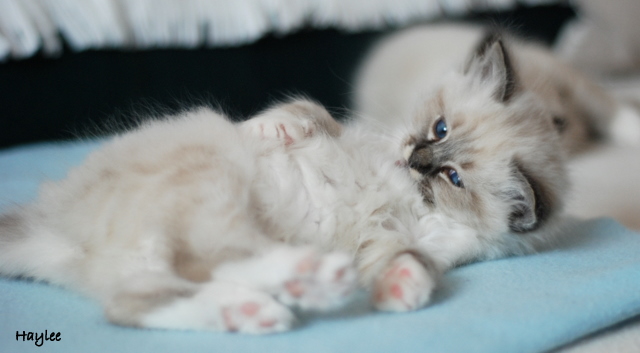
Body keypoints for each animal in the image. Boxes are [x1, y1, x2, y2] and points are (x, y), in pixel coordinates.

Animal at [1, 35, 564, 332]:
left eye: (452, 177)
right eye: (439, 128)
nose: (416, 158)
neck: (403, 189)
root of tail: (50, 228)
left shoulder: (393, 242)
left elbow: (412, 262)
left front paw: (400, 291)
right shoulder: (344, 128)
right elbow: (304, 111)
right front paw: (265, 129)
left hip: (180, 234)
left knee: (146, 296)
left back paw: (268, 304)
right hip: (210, 181)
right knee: (197, 267)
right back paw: (295, 289)